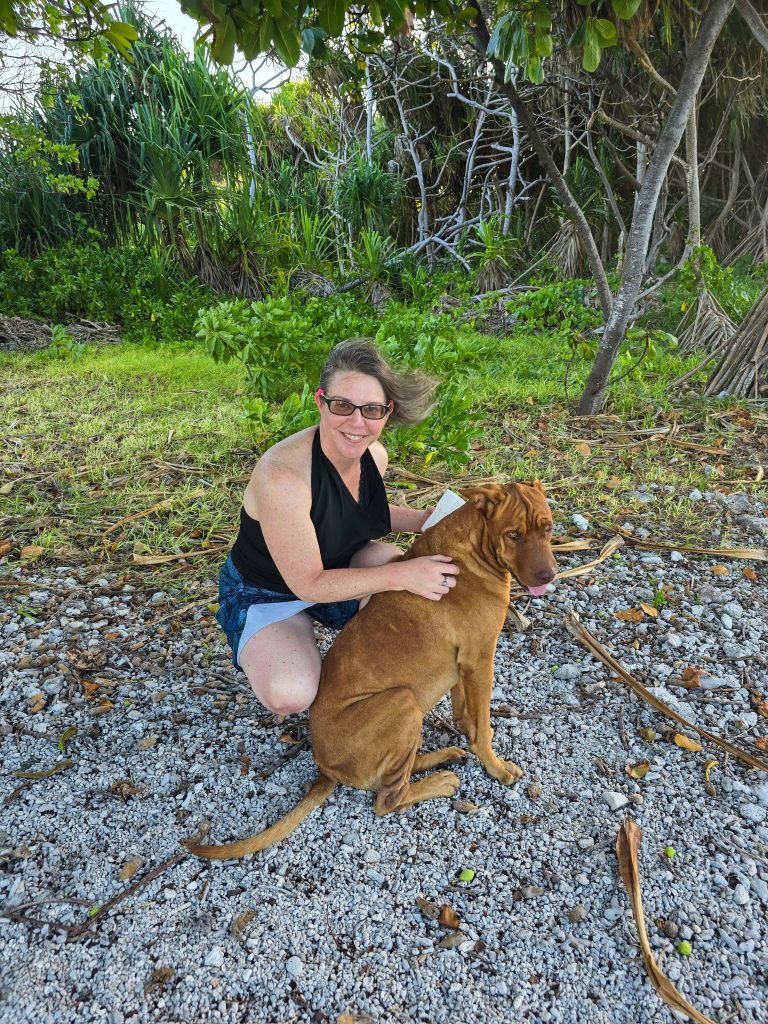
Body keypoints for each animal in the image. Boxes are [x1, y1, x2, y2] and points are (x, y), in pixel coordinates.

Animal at [188, 481, 556, 859]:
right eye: (513, 534)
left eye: (548, 528)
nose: (549, 576)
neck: (474, 545)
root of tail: (324, 767)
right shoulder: (480, 658)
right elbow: (483, 730)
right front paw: (496, 767)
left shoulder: (465, 664)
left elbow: (466, 711)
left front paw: (467, 731)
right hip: (403, 701)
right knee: (386, 800)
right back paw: (439, 781)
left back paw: (439, 757)